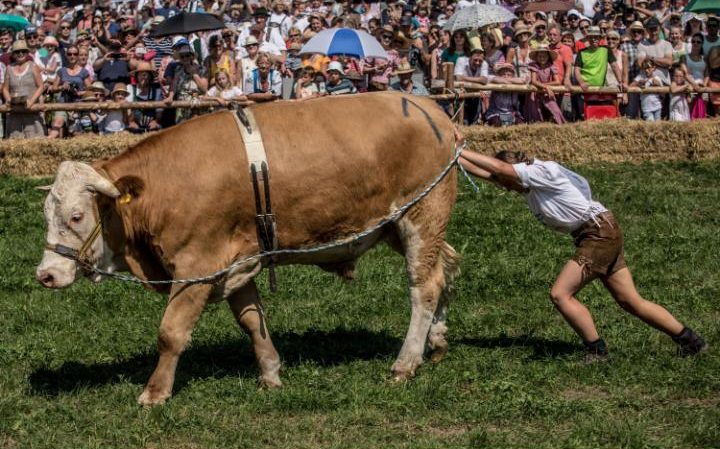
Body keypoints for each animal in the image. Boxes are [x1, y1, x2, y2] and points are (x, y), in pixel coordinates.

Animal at [35, 92, 462, 406]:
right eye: (46, 212)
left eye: (76, 216)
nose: (46, 274)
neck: (161, 189)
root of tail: (431, 109)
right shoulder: (234, 260)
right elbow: (252, 320)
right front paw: (270, 373)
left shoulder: (196, 265)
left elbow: (171, 332)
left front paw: (154, 393)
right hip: (399, 227)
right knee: (446, 270)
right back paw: (437, 342)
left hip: (421, 215)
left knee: (424, 287)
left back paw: (405, 363)